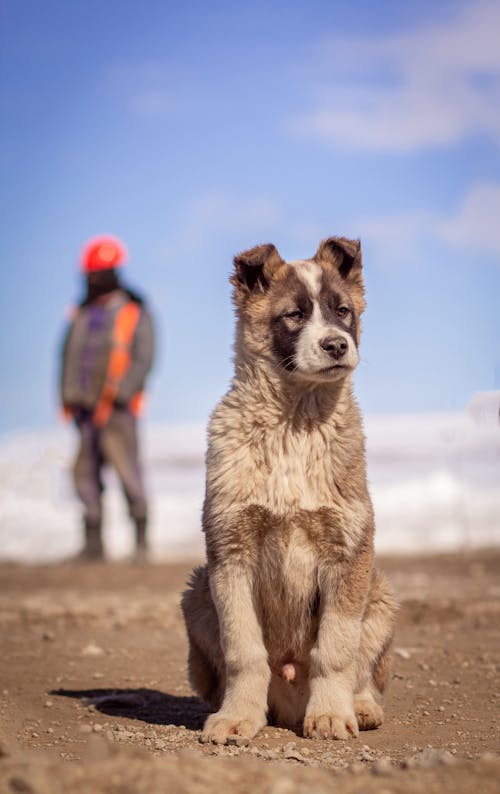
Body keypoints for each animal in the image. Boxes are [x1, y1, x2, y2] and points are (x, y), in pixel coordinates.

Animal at [182, 235, 396, 744]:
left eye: (343, 311)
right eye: (294, 315)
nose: (337, 344)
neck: (295, 424)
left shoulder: (348, 554)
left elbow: (336, 647)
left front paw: (332, 715)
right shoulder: (230, 553)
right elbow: (243, 649)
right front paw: (238, 717)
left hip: (379, 593)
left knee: (361, 668)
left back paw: (360, 707)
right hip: (196, 593)